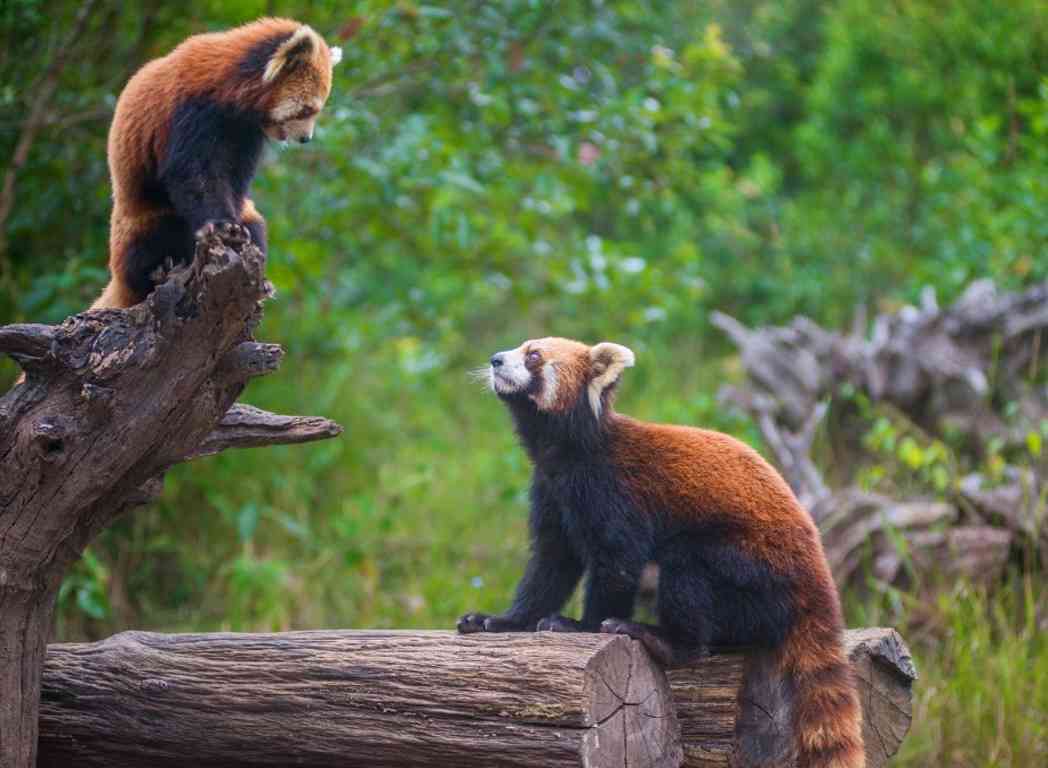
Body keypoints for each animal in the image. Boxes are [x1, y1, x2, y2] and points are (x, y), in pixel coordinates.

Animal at [91, 15, 339, 308]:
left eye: (316, 111)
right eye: (306, 110)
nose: (305, 139)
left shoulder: (245, 134)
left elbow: (235, 183)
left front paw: (233, 227)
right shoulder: (189, 111)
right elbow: (193, 175)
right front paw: (222, 225)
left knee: (256, 223)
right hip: (138, 222)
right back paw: (161, 267)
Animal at [463, 335, 863, 766]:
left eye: (533, 356)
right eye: (520, 348)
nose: (495, 359)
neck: (566, 451)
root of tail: (818, 574)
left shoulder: (613, 489)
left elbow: (617, 563)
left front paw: (581, 625)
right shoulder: (551, 492)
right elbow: (550, 566)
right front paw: (500, 620)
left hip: (755, 566)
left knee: (687, 567)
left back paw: (662, 638)